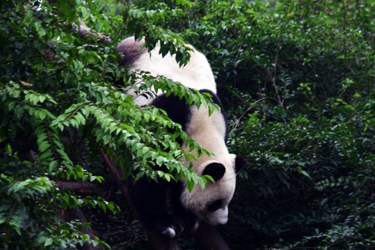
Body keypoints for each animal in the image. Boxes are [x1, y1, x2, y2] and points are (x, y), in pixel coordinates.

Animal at [117, 36, 247, 238]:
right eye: (215, 204)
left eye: (228, 201)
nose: (222, 222)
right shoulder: (166, 121)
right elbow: (149, 171)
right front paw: (166, 223)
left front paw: (187, 217)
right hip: (126, 61)